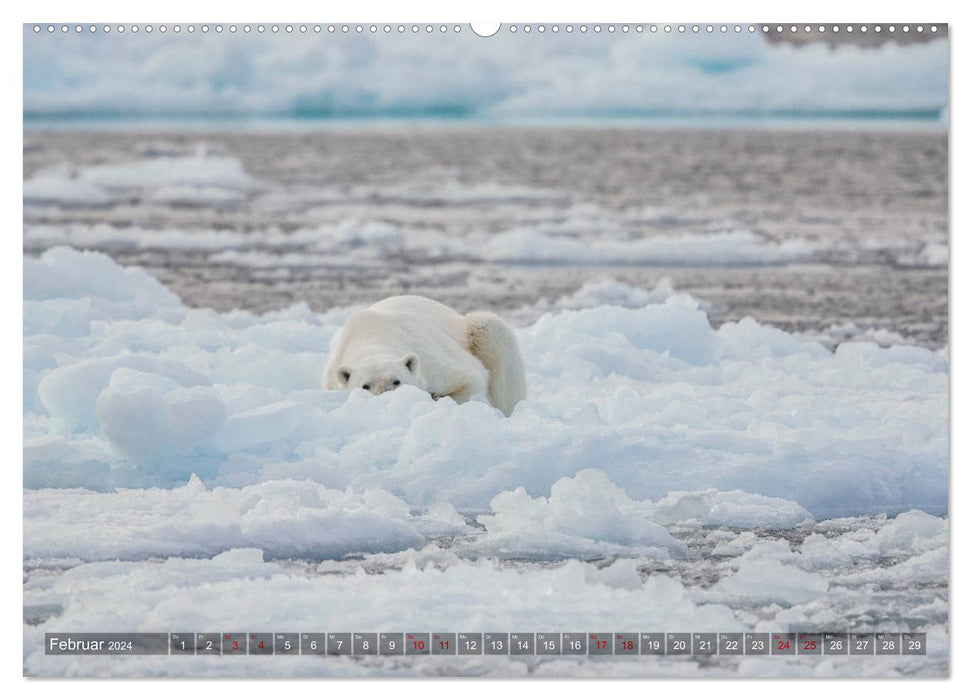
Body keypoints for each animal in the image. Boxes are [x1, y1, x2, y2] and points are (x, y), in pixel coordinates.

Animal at [324, 296, 524, 416]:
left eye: (396, 381)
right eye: (365, 385)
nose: (384, 397)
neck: (372, 337)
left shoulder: (429, 357)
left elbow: (472, 377)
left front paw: (437, 398)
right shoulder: (331, 375)